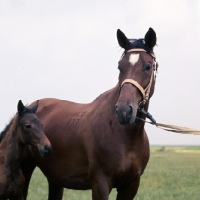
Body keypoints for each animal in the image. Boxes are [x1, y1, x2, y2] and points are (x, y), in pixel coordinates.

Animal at [21, 27, 158, 199]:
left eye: (148, 66)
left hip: (55, 180)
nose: (123, 111)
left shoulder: (131, 186)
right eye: (120, 67)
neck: (127, 139)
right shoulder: (100, 183)